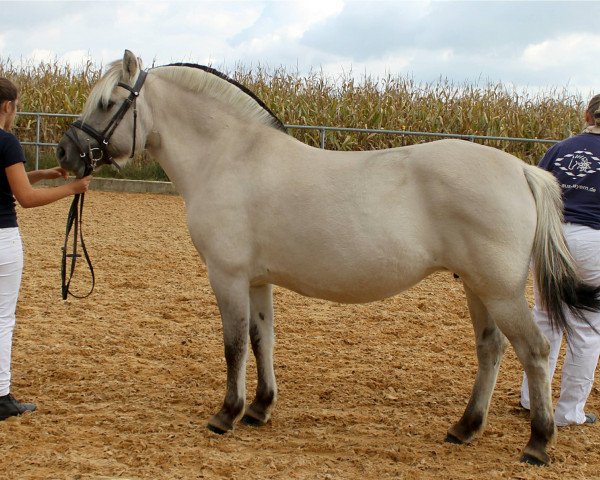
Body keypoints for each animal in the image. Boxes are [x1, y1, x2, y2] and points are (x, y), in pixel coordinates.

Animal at [56, 51, 600, 464]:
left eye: (108, 102)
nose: (66, 152)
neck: (230, 157)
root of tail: (521, 169)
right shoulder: (257, 279)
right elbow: (263, 340)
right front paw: (260, 409)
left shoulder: (226, 275)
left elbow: (234, 345)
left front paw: (226, 414)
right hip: (477, 286)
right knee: (491, 349)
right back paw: (464, 428)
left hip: (500, 289)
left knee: (535, 351)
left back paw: (538, 443)